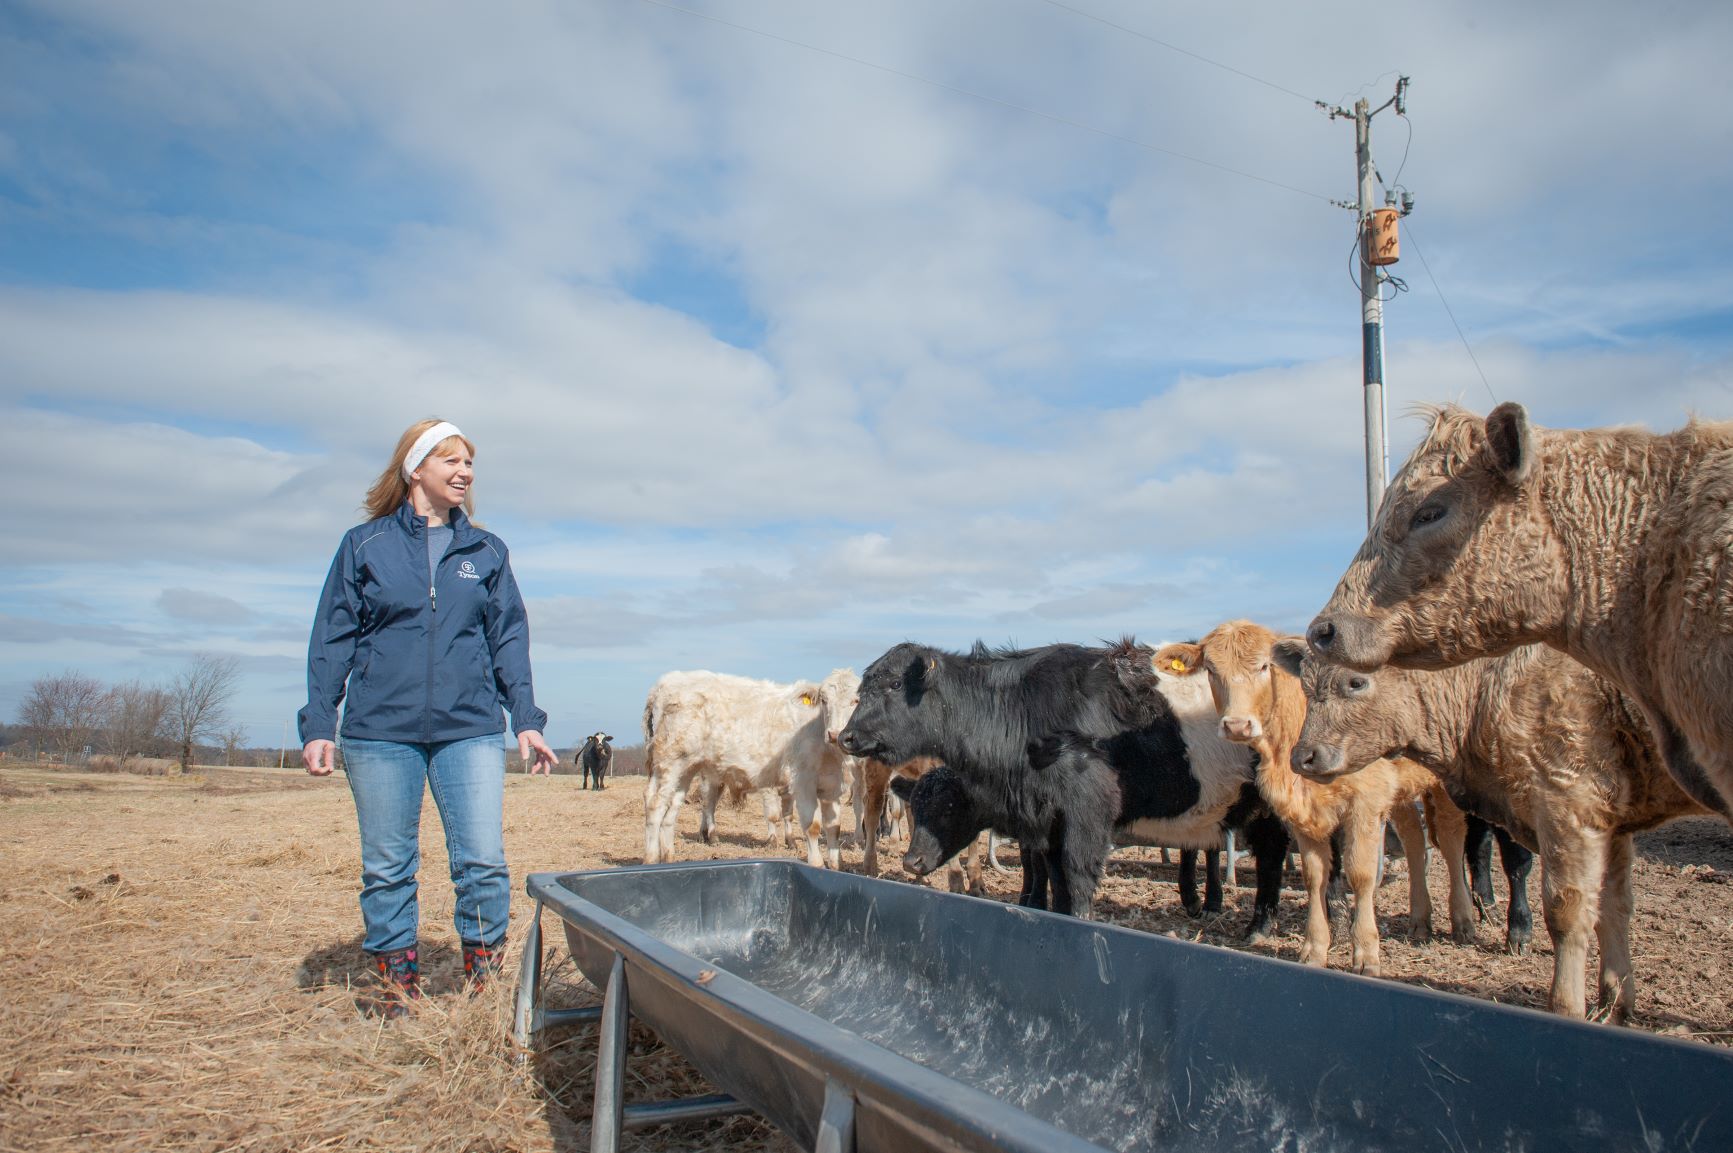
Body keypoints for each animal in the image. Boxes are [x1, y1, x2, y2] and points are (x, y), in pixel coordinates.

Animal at [641, 669, 852, 869]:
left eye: (855, 701)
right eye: (824, 700)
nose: (835, 734)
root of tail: (664, 683)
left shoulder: (832, 785)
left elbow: (834, 827)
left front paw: (836, 865)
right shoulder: (802, 781)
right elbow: (812, 826)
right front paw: (817, 863)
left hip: (687, 767)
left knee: (672, 808)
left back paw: (668, 858)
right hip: (669, 760)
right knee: (656, 802)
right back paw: (651, 859)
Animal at [838, 639, 1289, 932]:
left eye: (896, 685)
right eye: (862, 689)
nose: (845, 736)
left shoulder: (1087, 812)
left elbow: (1077, 875)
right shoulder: (1047, 820)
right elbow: (1054, 877)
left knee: (1269, 857)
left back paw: (1257, 926)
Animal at [1154, 621, 1474, 975]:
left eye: (1264, 666)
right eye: (1211, 669)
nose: (1237, 726)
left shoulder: (1365, 803)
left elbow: (1360, 874)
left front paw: (1366, 953)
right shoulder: (1304, 812)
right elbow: (1314, 876)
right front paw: (1315, 948)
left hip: (1448, 782)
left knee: (1451, 838)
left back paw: (1463, 920)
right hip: (1401, 791)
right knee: (1414, 841)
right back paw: (1420, 920)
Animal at [1279, 640, 1712, 1020]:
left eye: (1356, 681)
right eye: (1305, 685)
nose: (1303, 757)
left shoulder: (1566, 805)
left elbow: (1564, 909)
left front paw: (1563, 1003)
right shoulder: (1612, 824)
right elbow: (1614, 907)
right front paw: (1615, 1001)